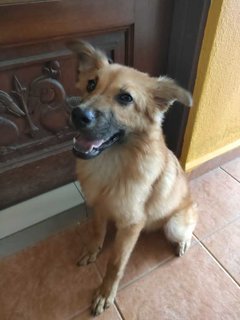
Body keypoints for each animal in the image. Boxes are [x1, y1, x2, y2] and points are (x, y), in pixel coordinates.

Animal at [67, 41, 197, 316]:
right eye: (91, 84)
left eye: (125, 98)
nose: (78, 114)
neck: (113, 162)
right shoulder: (99, 207)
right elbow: (96, 231)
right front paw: (93, 249)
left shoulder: (130, 225)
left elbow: (115, 264)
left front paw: (105, 293)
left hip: (174, 225)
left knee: (189, 229)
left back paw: (183, 242)